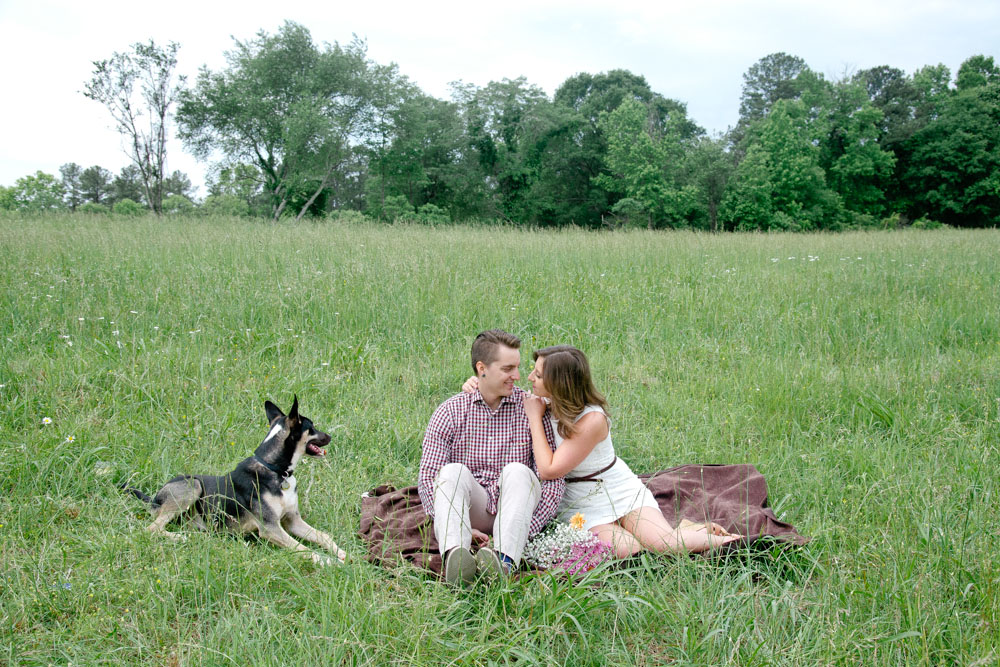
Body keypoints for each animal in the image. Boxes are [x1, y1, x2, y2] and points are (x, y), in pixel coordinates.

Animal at [120, 400, 346, 568]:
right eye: (311, 427)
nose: (330, 436)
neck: (276, 470)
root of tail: (154, 498)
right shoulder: (270, 528)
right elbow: (303, 549)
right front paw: (328, 561)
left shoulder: (292, 520)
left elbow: (323, 536)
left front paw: (340, 552)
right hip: (192, 485)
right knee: (151, 529)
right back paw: (183, 538)